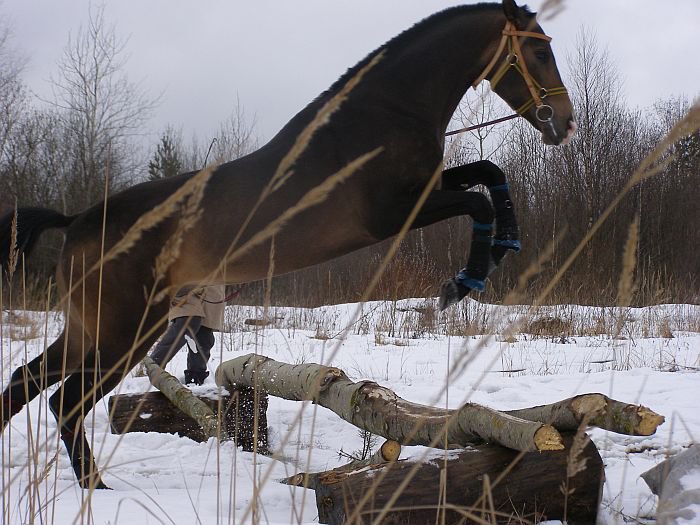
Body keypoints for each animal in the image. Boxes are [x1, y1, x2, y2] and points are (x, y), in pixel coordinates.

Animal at [0, 0, 576, 488]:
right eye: (540, 51)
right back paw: (96, 487)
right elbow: (479, 199)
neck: (388, 112)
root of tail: (77, 221)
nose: (564, 123)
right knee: (65, 401)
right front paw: (464, 281)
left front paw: (504, 246)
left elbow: (488, 172)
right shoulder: (394, 213)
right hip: (125, 330)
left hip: (91, 327)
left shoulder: (425, 192)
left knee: (27, 383)